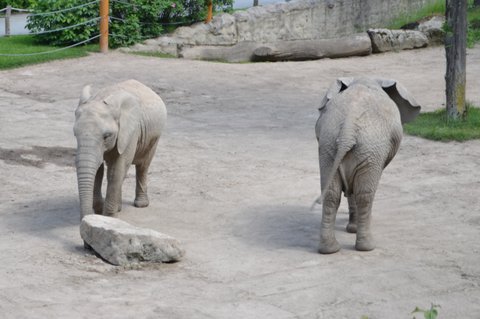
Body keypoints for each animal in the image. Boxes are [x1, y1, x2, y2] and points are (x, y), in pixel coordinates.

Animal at [73, 80, 167, 220]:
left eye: (107, 136)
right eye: (75, 134)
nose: (86, 217)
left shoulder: (130, 132)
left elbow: (117, 169)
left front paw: (109, 218)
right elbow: (99, 170)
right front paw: (99, 212)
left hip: (154, 137)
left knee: (143, 166)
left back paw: (141, 204)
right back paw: (119, 207)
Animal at [316, 77, 420, 255]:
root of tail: (348, 129)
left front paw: (351, 229)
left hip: (329, 146)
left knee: (331, 194)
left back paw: (329, 250)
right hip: (370, 148)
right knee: (365, 194)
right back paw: (367, 247)